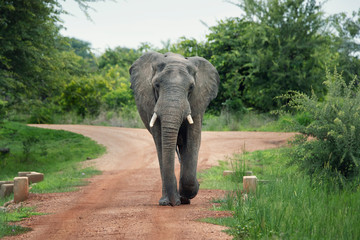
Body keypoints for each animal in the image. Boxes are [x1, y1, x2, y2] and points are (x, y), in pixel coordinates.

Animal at [129, 52, 219, 206]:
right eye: (156, 85)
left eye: (191, 87)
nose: (174, 203)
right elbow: (160, 142)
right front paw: (170, 201)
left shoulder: (197, 103)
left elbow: (192, 141)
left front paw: (189, 192)